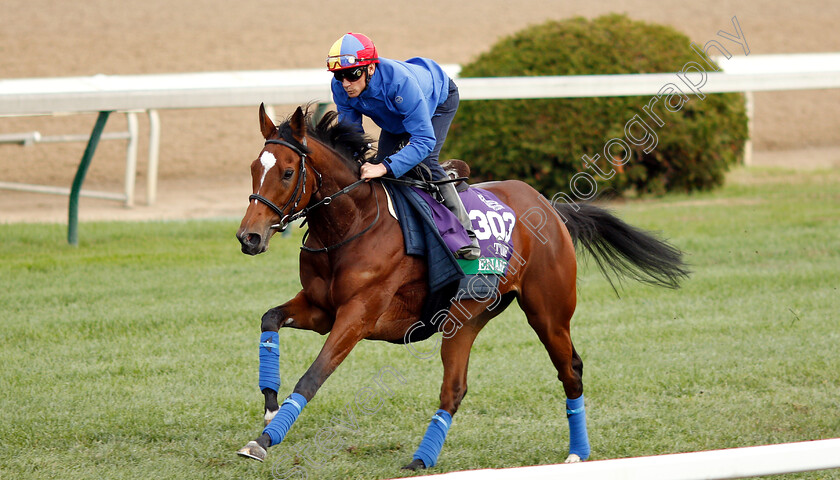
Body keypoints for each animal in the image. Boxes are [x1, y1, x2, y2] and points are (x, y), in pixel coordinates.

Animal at [233, 104, 684, 468]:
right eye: (254, 169)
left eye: (287, 172)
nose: (248, 237)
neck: (352, 223)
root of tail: (549, 207)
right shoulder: (320, 308)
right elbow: (269, 319)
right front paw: (270, 405)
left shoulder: (357, 316)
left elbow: (312, 376)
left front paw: (264, 441)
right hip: (465, 318)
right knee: (454, 389)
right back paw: (422, 458)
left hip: (548, 312)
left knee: (570, 369)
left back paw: (578, 453)